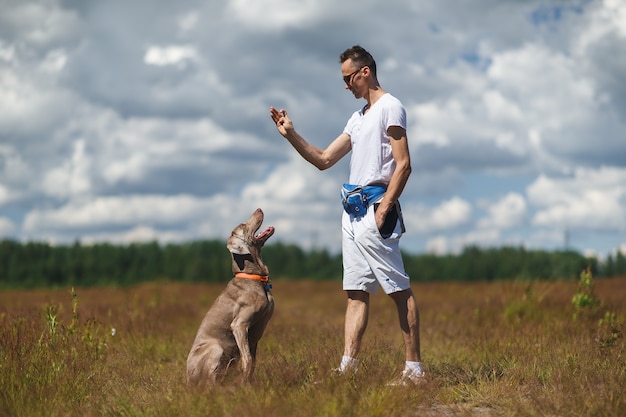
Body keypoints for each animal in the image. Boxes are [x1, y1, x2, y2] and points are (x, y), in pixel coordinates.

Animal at [184, 208, 274, 386]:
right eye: (243, 225)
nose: (259, 209)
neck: (254, 276)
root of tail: (187, 379)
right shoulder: (240, 325)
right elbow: (248, 360)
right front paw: (245, 386)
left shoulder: (255, 333)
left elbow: (253, 361)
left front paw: (249, 384)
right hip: (215, 346)